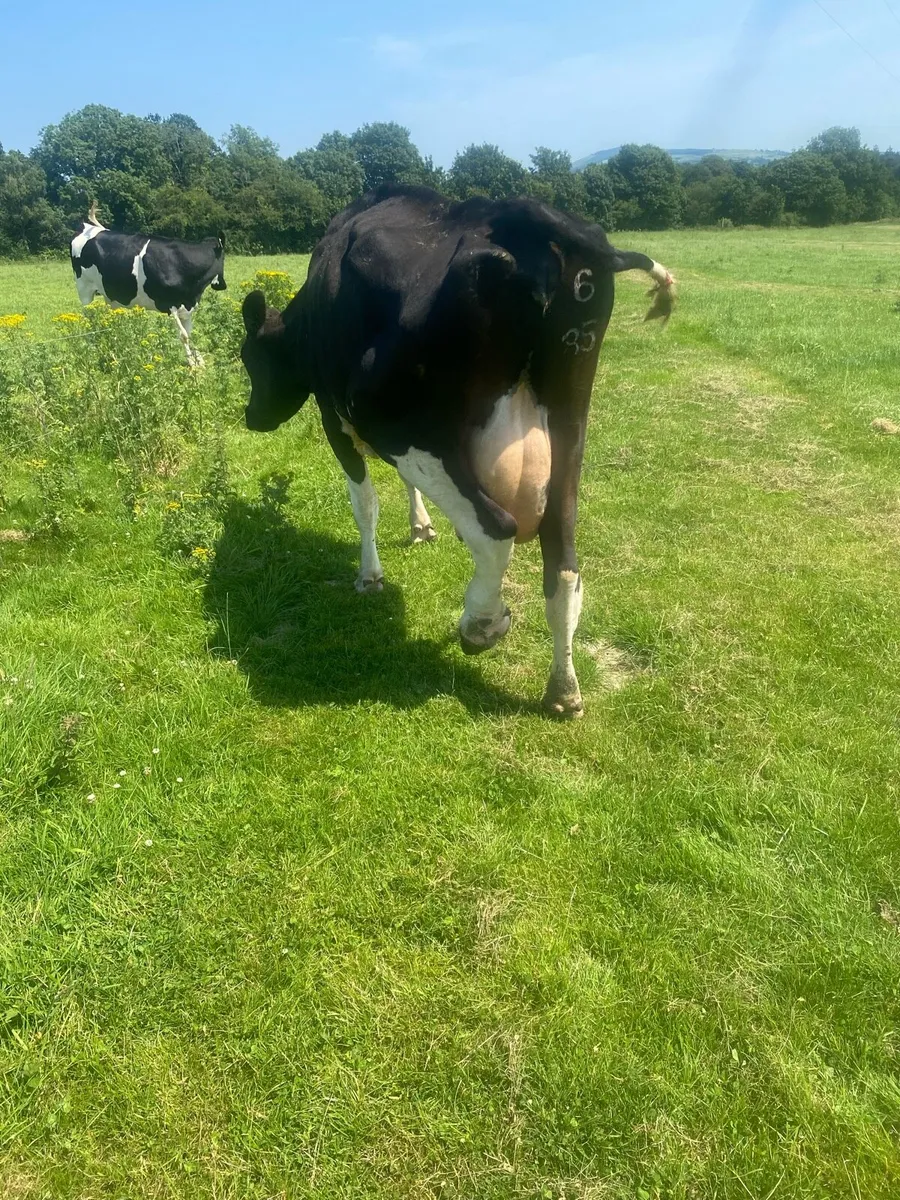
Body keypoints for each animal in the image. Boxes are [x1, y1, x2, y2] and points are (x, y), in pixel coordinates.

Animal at [70, 203, 227, 366]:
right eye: (224, 258)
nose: (222, 285)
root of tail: (88, 227)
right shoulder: (170, 304)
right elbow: (183, 335)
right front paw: (192, 363)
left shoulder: (188, 306)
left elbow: (189, 333)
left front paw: (199, 361)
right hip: (84, 290)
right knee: (89, 320)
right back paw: (93, 350)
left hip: (110, 296)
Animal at [239, 185, 676, 717]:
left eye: (249, 358)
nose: (252, 417)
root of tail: (533, 217)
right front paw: (421, 526)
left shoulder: (335, 417)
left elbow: (365, 504)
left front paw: (370, 576)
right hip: (569, 422)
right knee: (563, 557)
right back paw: (563, 688)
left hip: (397, 422)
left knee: (496, 528)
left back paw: (481, 623)